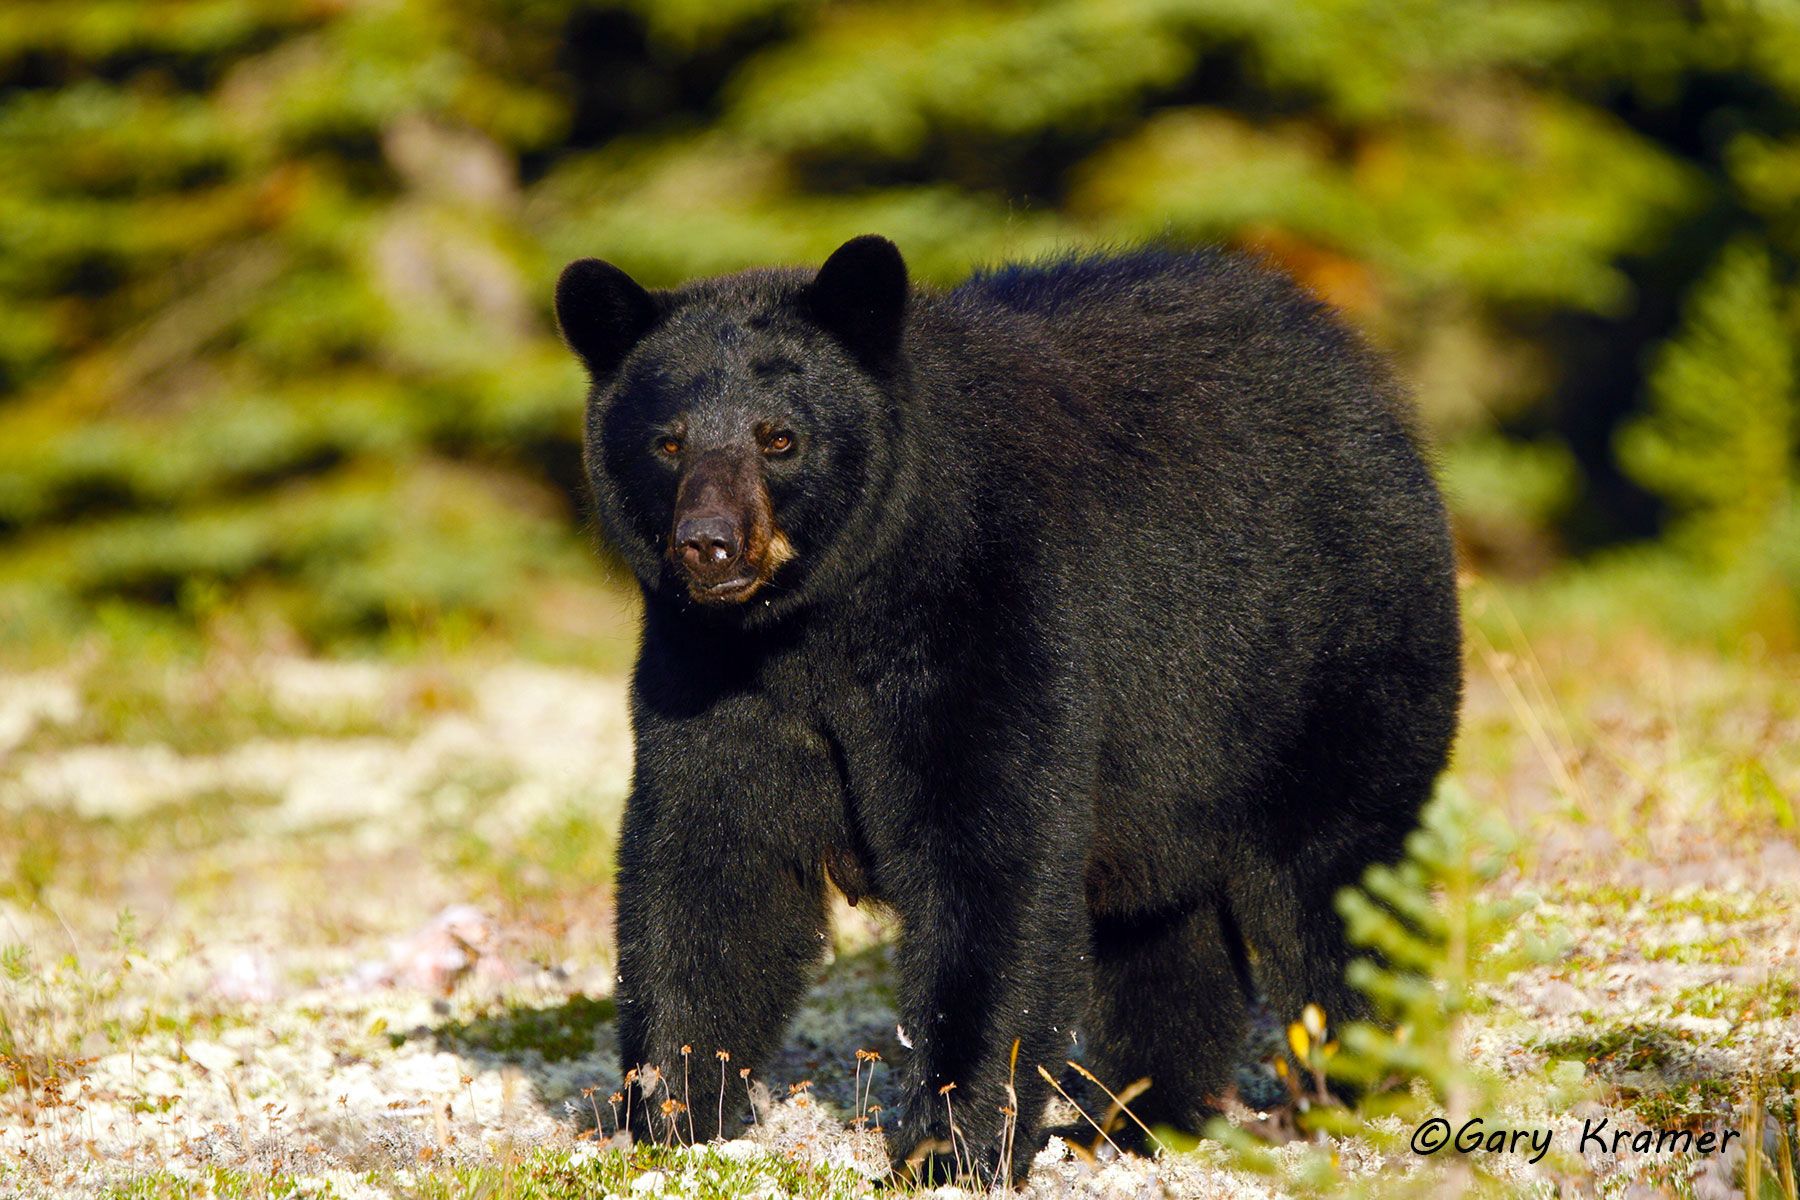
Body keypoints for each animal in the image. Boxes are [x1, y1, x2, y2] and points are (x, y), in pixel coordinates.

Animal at [553, 236, 1462, 1184]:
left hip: (1323, 668)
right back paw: (1138, 1118)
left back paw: (1351, 1091)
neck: (817, 625)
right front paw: (669, 1115)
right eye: (667, 441)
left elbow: (993, 865)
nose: (709, 544)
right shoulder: (710, 673)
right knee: (1163, 933)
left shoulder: (993, 615)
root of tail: (1362, 373)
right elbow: (709, 869)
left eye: (779, 439)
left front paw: (948, 1145)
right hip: (1175, 777)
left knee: (1334, 886)